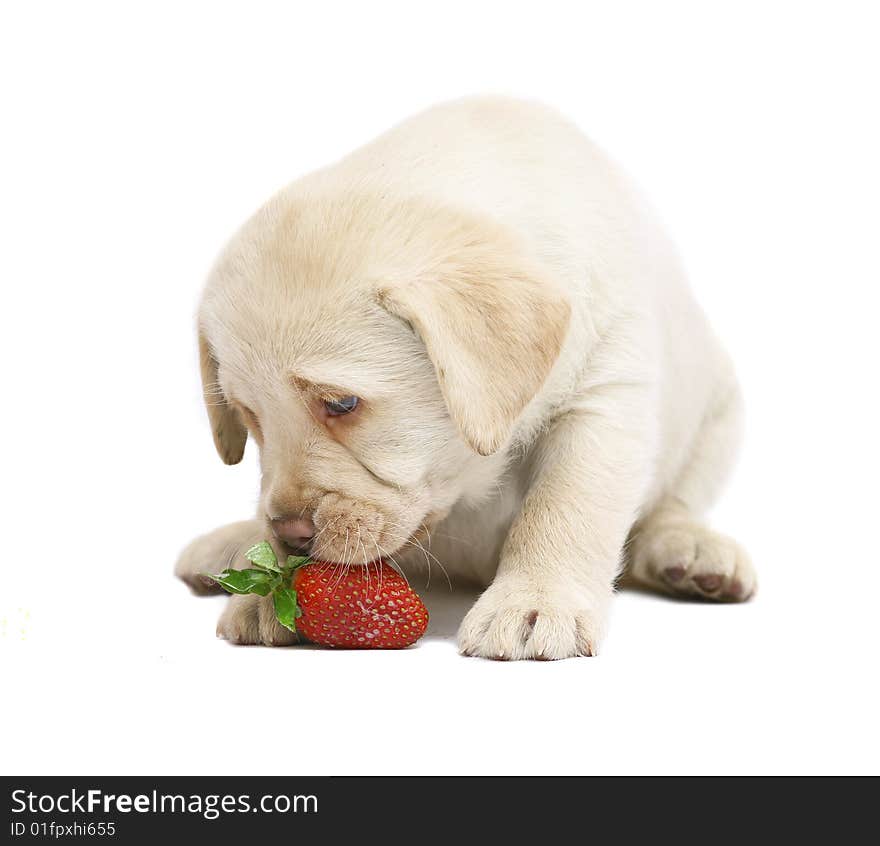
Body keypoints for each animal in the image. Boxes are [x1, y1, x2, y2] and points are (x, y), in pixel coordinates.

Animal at [175, 96, 752, 660]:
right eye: (250, 417)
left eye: (341, 404)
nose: (290, 536)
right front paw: (270, 591)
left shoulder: (604, 397)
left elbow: (563, 506)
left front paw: (534, 600)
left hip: (717, 418)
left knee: (675, 504)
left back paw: (692, 550)